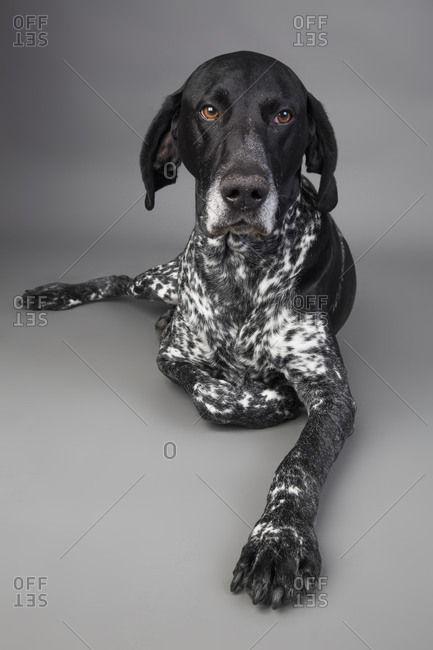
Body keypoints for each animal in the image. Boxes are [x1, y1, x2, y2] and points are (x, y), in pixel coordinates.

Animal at [22, 50, 356, 608]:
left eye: (284, 115)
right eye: (208, 110)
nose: (244, 191)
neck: (242, 269)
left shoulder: (331, 392)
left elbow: (299, 462)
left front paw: (280, 538)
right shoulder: (174, 357)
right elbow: (212, 392)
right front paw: (272, 401)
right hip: (161, 278)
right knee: (120, 280)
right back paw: (54, 293)